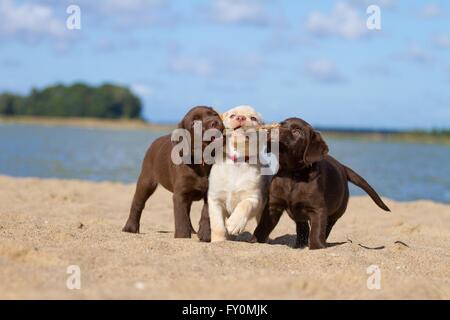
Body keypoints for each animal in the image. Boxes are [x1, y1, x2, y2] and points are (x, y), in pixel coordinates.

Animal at [208, 106, 270, 241]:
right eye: (232, 115)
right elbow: (217, 226)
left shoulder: (254, 198)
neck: (238, 160)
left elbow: (244, 205)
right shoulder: (215, 200)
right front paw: (218, 241)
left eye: (253, 118)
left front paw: (234, 224)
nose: (240, 117)